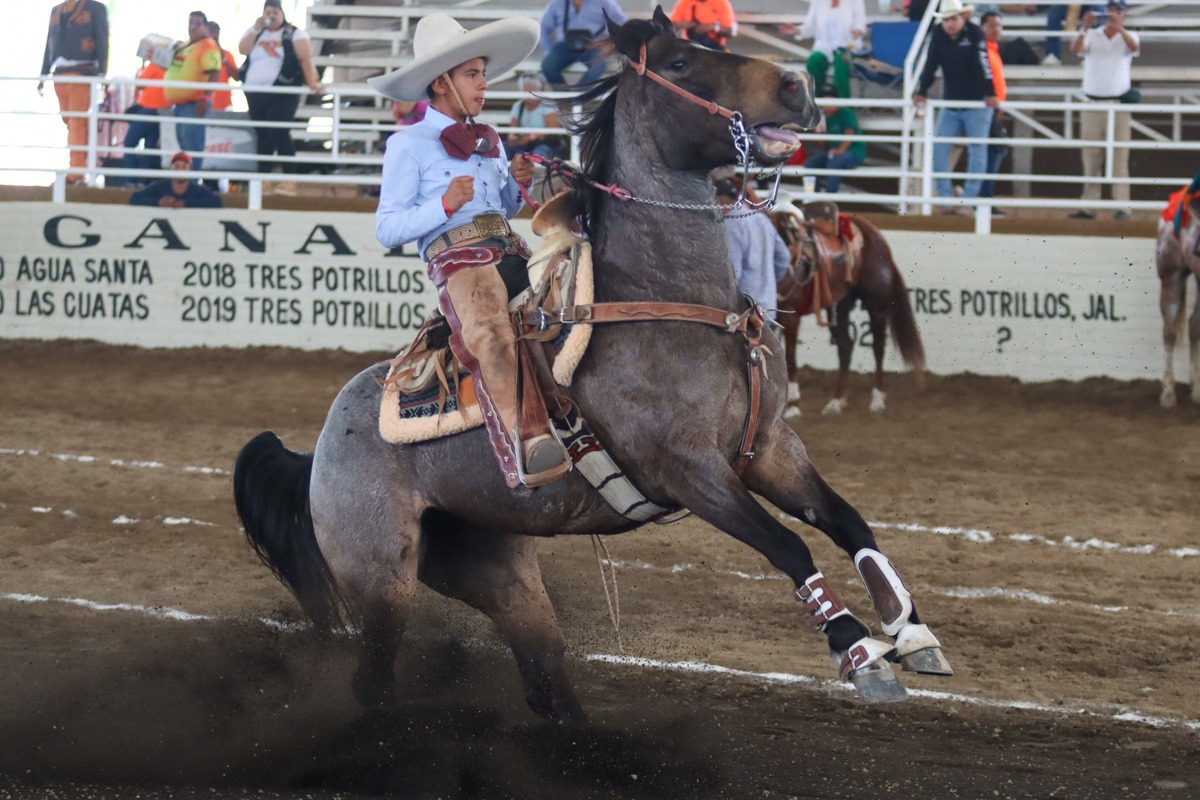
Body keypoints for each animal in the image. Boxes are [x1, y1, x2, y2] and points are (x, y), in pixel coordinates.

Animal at [771, 201, 925, 416]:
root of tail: (878, 238)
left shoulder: (790, 313)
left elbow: (790, 357)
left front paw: (793, 405)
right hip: (839, 307)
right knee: (845, 346)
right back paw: (837, 400)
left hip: (876, 306)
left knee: (878, 347)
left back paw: (877, 399)